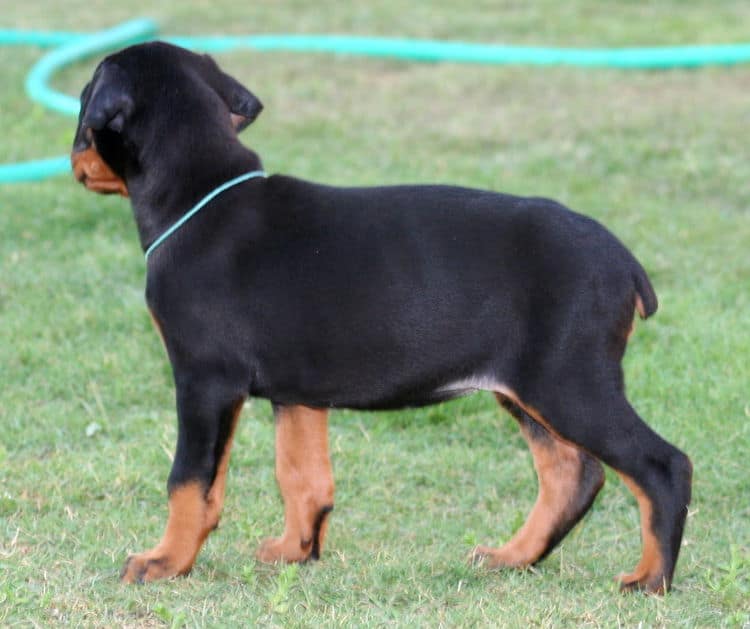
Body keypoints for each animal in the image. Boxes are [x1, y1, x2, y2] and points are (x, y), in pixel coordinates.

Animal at [72, 41, 692, 592]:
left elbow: (190, 481)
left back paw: (649, 579)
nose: (72, 159)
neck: (201, 197)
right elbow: (301, 475)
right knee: (571, 473)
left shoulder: (205, 381)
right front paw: (295, 551)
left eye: (81, 105)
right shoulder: (298, 391)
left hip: (568, 381)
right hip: (528, 389)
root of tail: (624, 264)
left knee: (661, 466)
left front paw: (164, 563)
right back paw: (511, 557)